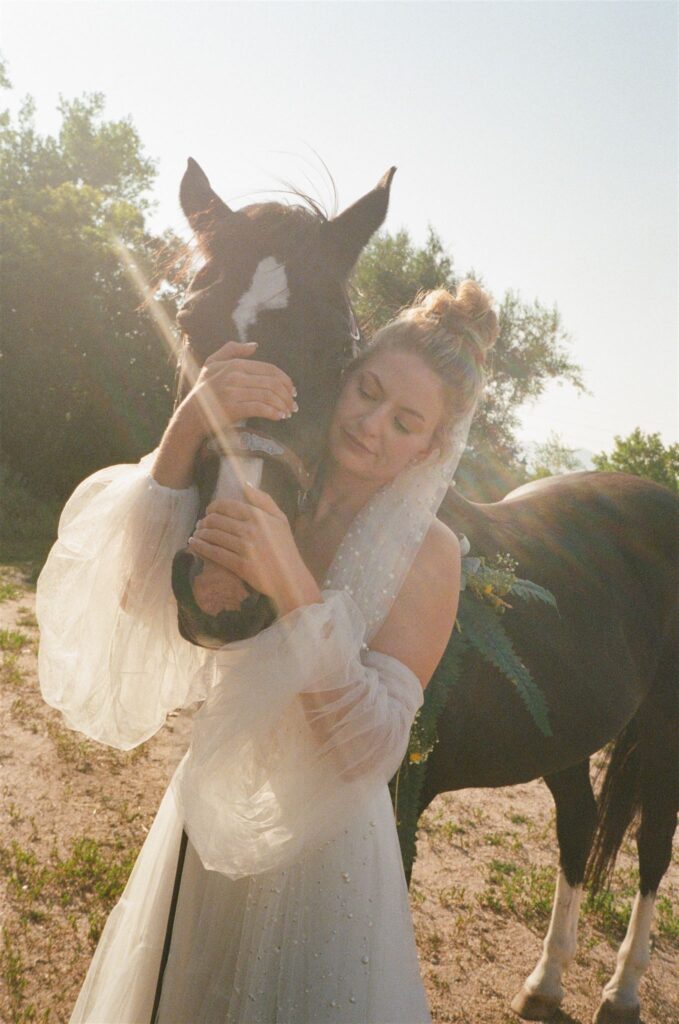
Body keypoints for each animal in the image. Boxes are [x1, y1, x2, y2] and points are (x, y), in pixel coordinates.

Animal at [166, 159, 675, 1024]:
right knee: (578, 830)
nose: (222, 585)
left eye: (340, 346)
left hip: (666, 737)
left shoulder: (397, 797)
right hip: (567, 735)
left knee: (650, 850)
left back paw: (622, 988)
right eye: (191, 320)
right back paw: (545, 981)